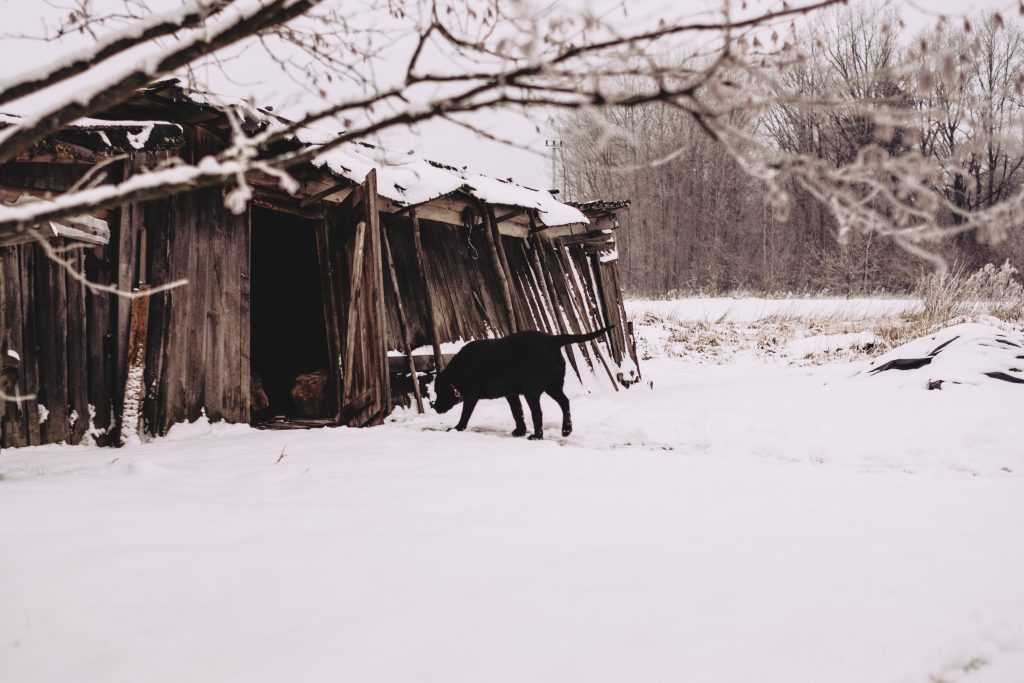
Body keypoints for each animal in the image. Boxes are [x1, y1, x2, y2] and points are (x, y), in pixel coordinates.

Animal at [430, 327, 610, 444]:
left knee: (538, 413)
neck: (456, 373)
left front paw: (457, 428)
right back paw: (566, 430)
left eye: (438, 391)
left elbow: (465, 415)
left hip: (532, 391)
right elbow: (518, 413)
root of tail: (552, 340)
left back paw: (537, 436)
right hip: (553, 387)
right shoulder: (511, 394)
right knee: (565, 402)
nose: (435, 408)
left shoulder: (471, 397)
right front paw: (520, 431)